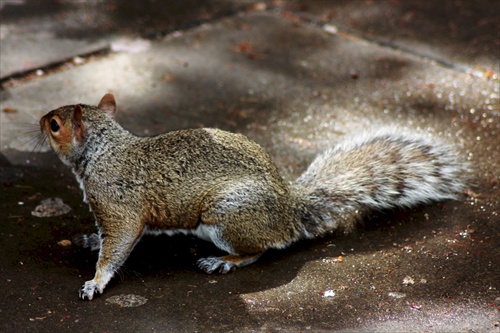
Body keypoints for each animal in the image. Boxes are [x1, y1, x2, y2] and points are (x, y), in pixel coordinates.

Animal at [39, 92, 468, 298]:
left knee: (259, 250)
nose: (39, 120)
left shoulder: (119, 205)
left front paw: (96, 282)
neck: (103, 151)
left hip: (225, 214)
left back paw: (224, 261)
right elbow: (106, 236)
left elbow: (119, 245)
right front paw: (90, 239)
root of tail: (289, 208)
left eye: (55, 125)